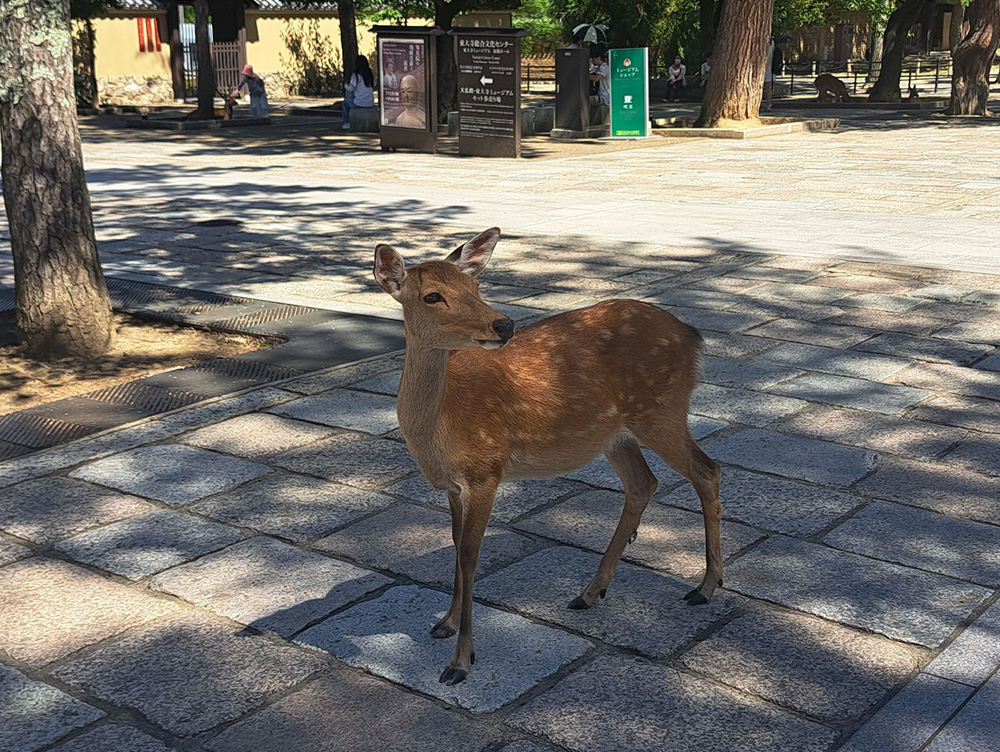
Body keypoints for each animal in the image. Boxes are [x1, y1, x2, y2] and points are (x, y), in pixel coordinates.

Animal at [373, 228, 723, 686]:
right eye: (432, 295)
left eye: (475, 288)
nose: (503, 324)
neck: (439, 432)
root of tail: (693, 334)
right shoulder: (454, 484)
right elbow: (455, 546)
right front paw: (444, 624)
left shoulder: (487, 469)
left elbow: (470, 556)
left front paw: (460, 662)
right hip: (615, 433)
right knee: (643, 483)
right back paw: (588, 593)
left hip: (662, 411)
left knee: (707, 470)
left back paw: (705, 588)